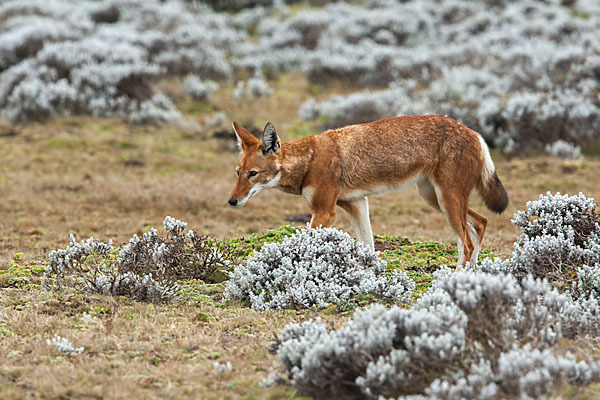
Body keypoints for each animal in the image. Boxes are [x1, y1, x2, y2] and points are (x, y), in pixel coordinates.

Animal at [227, 115, 508, 268]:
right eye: (237, 172)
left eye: (253, 174)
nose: (232, 201)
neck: (310, 159)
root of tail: (475, 133)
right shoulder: (356, 205)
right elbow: (368, 247)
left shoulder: (325, 212)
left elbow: (305, 244)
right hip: (434, 199)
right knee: (481, 223)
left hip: (445, 201)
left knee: (467, 243)